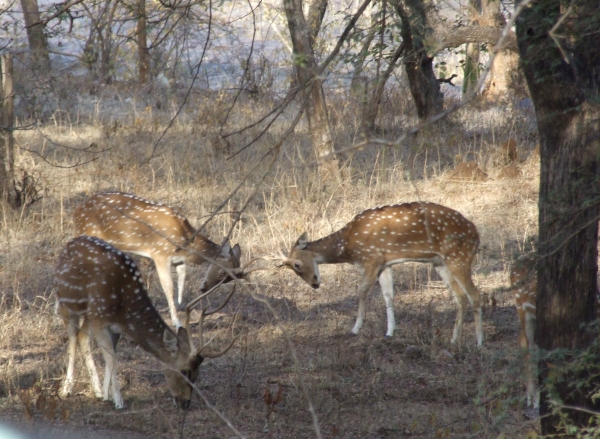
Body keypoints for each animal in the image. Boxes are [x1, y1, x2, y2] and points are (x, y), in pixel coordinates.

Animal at [54, 235, 237, 410]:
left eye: (198, 373)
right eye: (184, 371)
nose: (185, 404)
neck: (124, 305)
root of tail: (68, 245)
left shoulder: (115, 326)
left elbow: (111, 355)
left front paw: (106, 395)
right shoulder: (99, 316)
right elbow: (111, 358)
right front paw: (118, 401)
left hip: (87, 315)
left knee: (82, 338)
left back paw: (97, 390)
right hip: (66, 303)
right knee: (72, 338)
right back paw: (67, 389)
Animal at [74, 192, 243, 330]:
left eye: (229, 279)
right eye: (223, 273)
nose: (204, 288)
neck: (185, 242)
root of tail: (77, 212)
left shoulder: (178, 260)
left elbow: (182, 278)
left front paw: (180, 305)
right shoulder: (160, 254)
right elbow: (168, 286)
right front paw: (177, 323)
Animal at [276, 203, 482, 348]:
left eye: (297, 264)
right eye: (293, 268)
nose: (314, 283)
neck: (346, 246)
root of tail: (476, 234)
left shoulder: (371, 258)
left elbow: (361, 291)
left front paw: (355, 329)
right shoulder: (384, 263)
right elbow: (388, 295)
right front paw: (390, 332)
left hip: (458, 257)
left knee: (475, 295)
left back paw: (479, 342)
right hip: (441, 263)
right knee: (461, 297)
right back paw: (454, 340)